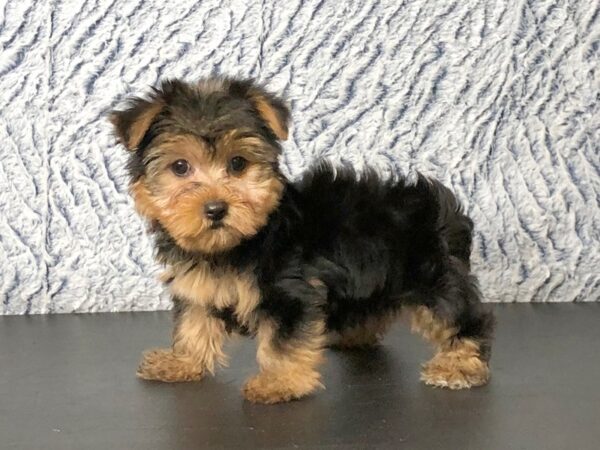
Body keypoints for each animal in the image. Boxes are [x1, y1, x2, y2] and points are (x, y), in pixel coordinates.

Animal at [110, 77, 494, 404]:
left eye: (238, 163)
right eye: (180, 167)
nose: (216, 208)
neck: (236, 244)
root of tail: (445, 209)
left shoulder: (290, 291)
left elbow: (282, 341)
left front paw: (278, 381)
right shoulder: (198, 287)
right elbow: (194, 323)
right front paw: (181, 362)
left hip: (432, 275)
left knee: (461, 317)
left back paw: (459, 363)